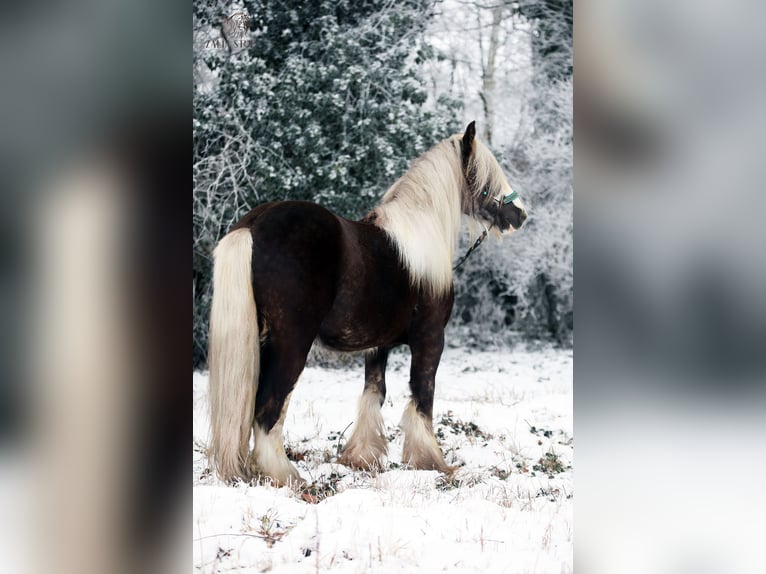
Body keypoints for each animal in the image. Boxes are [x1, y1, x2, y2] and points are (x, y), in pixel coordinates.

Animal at [208, 121, 527, 485]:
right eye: (484, 176)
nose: (520, 215)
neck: (419, 239)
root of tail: (253, 225)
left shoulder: (378, 346)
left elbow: (374, 393)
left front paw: (361, 458)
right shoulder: (431, 339)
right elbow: (423, 395)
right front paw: (431, 462)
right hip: (291, 344)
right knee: (268, 408)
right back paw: (286, 475)